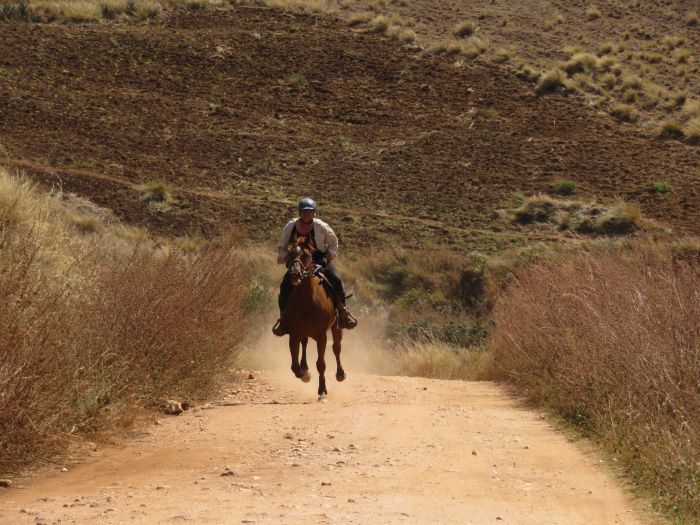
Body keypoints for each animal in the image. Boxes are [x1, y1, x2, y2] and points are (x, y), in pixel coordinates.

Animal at [282, 237, 348, 398]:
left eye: (306, 255)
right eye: (290, 253)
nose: (295, 274)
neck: (307, 302)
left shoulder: (321, 335)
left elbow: (321, 364)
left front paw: (322, 390)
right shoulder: (294, 334)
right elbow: (294, 366)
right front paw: (305, 374)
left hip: (337, 326)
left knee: (336, 348)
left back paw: (340, 374)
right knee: (305, 343)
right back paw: (305, 367)